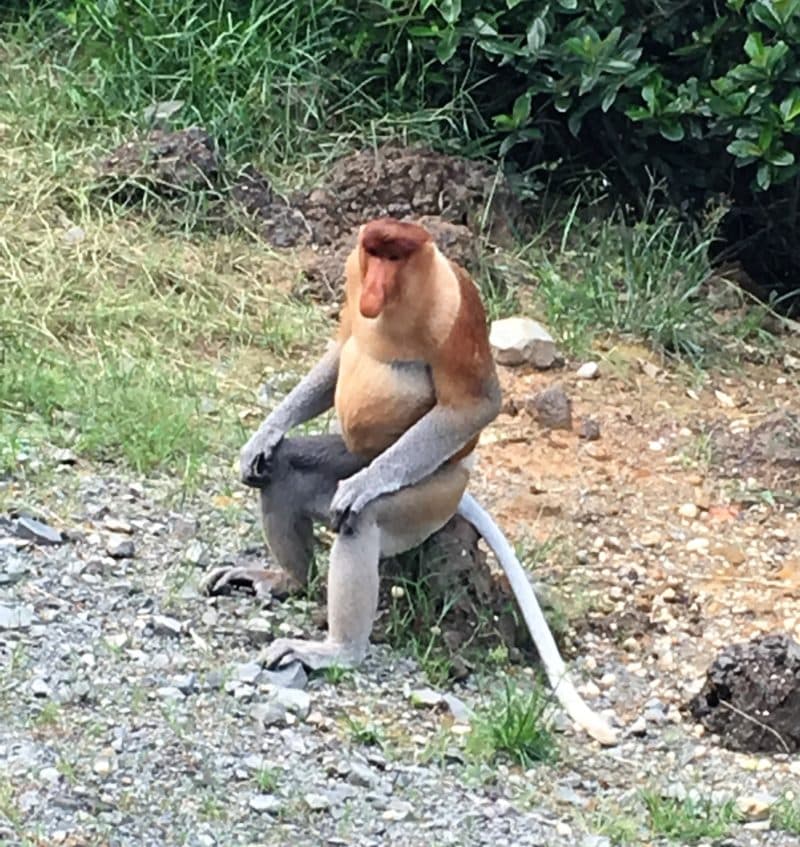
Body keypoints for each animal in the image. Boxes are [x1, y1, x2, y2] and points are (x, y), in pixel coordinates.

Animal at [204, 218, 619, 746]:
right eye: (374, 254)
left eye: (396, 257)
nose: (376, 288)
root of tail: (460, 486)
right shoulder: (352, 277)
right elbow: (340, 350)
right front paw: (264, 434)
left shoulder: (456, 307)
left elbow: (476, 404)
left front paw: (362, 488)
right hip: (350, 454)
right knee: (282, 473)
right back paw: (285, 579)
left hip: (433, 495)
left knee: (361, 522)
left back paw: (336, 648)